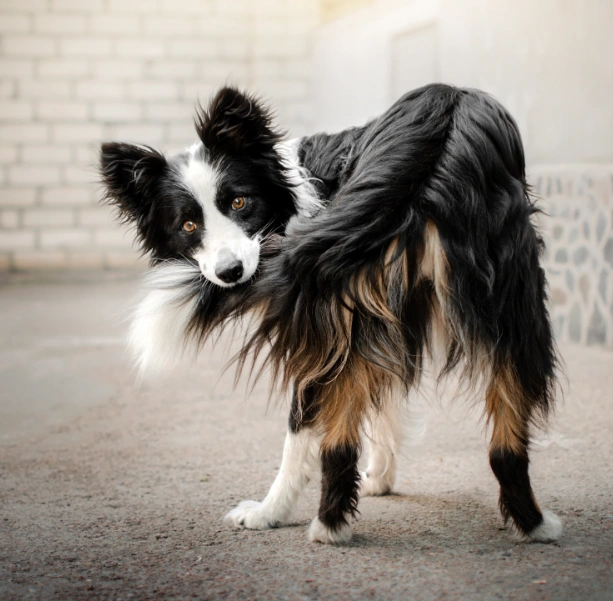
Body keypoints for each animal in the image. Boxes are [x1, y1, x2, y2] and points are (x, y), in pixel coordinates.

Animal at [99, 84, 560, 544]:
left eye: (239, 202)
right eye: (189, 226)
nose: (230, 273)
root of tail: (440, 123)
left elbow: (315, 423)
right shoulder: (374, 314)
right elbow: (374, 402)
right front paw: (379, 477)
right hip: (505, 302)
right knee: (500, 441)